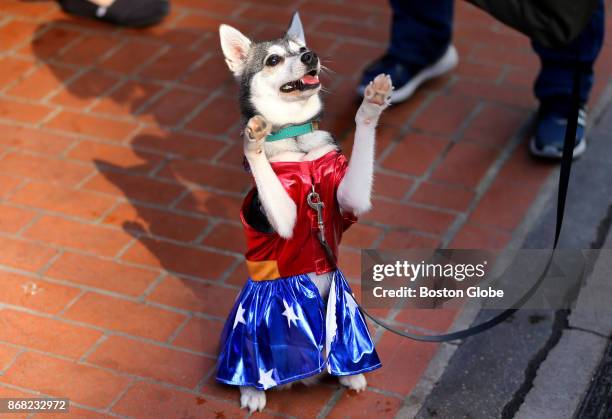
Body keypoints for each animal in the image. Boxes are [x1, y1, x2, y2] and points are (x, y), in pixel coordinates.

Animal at [219, 12, 392, 414]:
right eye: (273, 60)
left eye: (302, 49)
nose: (310, 56)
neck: (295, 138)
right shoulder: (281, 217)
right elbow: (260, 160)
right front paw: (253, 140)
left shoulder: (349, 197)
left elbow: (363, 133)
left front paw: (372, 104)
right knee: (246, 367)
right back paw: (251, 389)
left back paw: (349, 373)